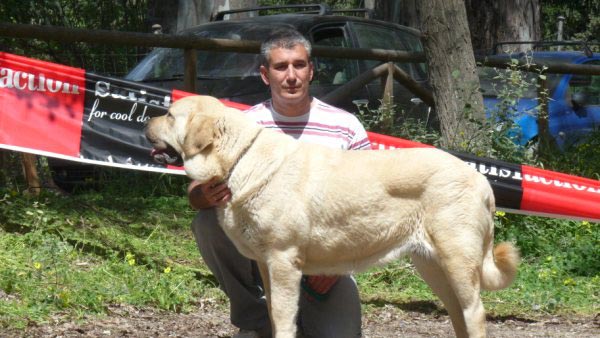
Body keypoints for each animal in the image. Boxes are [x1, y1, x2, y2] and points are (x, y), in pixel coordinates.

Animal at [146, 94, 520, 338]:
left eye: (170, 115)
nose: (148, 118)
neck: (240, 158)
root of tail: (482, 181)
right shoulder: (266, 264)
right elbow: (271, 311)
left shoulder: (283, 261)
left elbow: (283, 317)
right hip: (432, 265)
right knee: (458, 312)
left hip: (456, 259)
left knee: (475, 312)